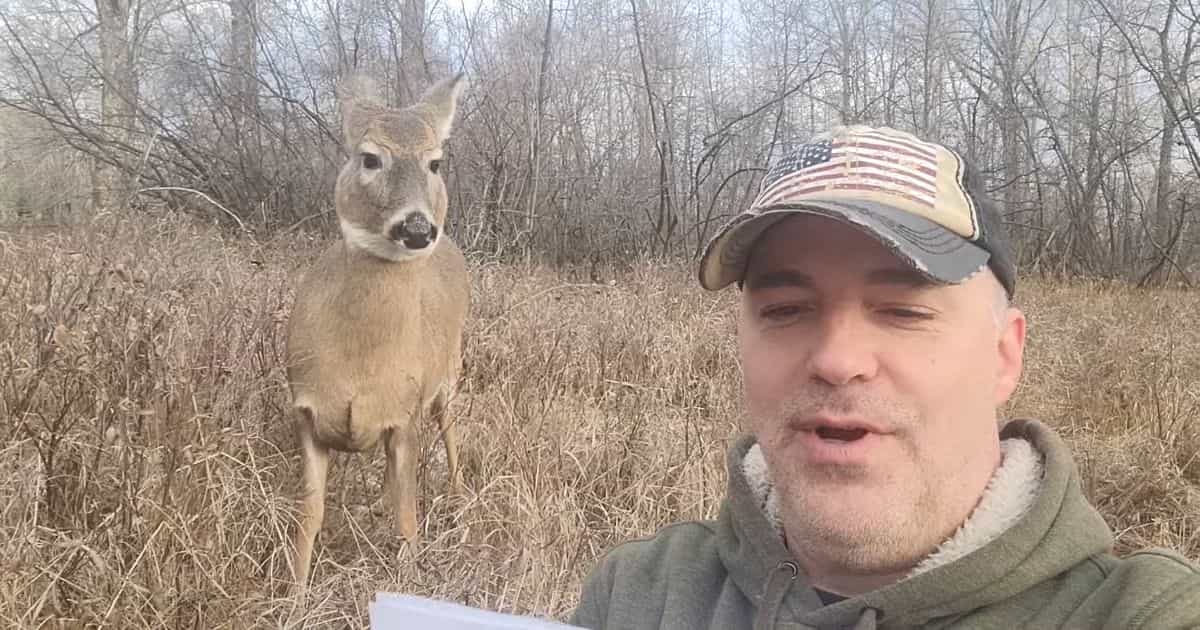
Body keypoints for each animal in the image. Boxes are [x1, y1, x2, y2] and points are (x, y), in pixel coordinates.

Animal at [284, 73, 469, 588]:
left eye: (435, 161)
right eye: (369, 157)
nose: (417, 228)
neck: (360, 367)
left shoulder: (404, 415)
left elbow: (408, 518)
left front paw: (408, 582)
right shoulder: (306, 411)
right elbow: (308, 515)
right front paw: (293, 592)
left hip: (450, 374)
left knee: (452, 434)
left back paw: (462, 501)